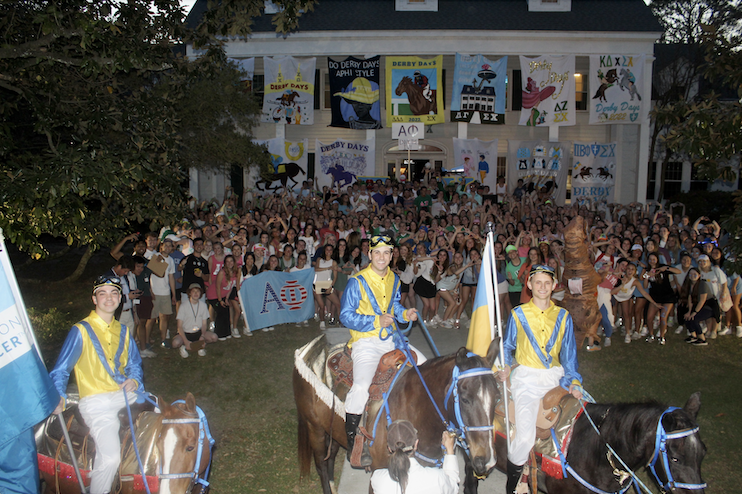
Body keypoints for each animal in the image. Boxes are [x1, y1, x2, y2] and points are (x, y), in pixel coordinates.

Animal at [294, 336, 502, 494]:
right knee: (321, 465)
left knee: (330, 460)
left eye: (497, 397)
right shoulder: (378, 475)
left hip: (333, 430)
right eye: (465, 399)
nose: (486, 460)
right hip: (315, 428)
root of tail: (310, 347)